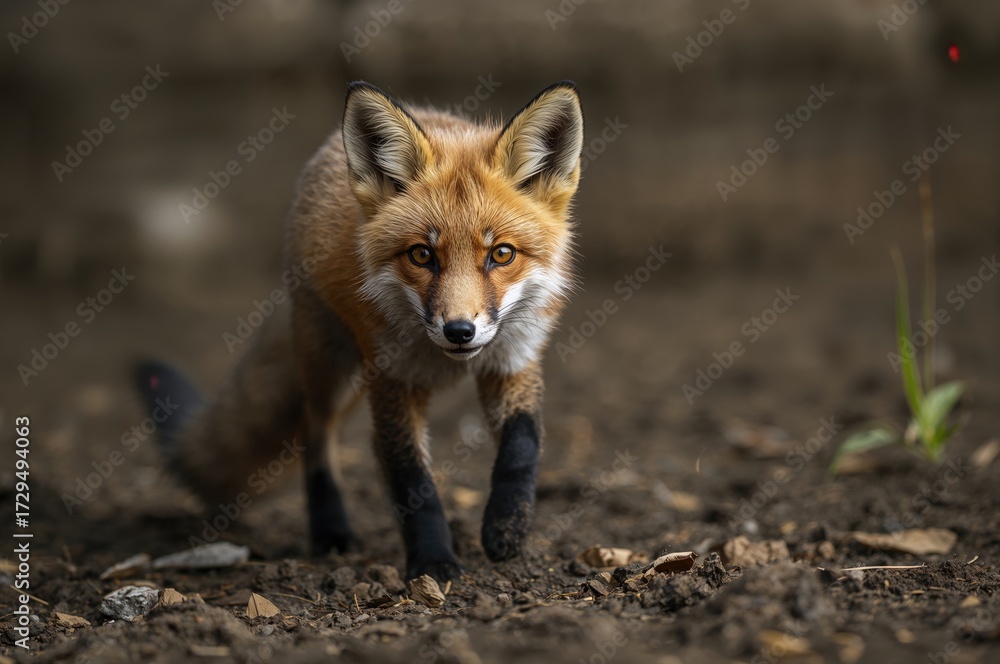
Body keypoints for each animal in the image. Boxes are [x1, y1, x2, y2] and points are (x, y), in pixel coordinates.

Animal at [134, 80, 585, 581]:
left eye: (501, 254)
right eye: (422, 255)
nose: (459, 331)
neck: (443, 359)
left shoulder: (513, 360)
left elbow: (522, 447)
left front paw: (507, 528)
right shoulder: (391, 380)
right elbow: (411, 479)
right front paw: (433, 563)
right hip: (332, 368)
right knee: (314, 430)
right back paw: (330, 532)